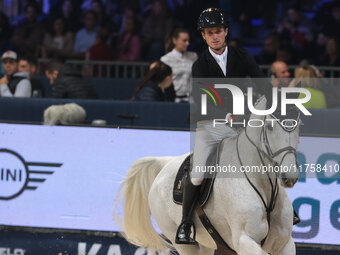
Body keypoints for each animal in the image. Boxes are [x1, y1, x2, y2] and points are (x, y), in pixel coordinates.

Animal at [116, 96, 300, 254]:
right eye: (269, 126)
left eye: (299, 125)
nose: (290, 176)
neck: (262, 185)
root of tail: (166, 164)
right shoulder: (245, 241)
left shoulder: (284, 244)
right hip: (182, 241)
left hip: (206, 243)